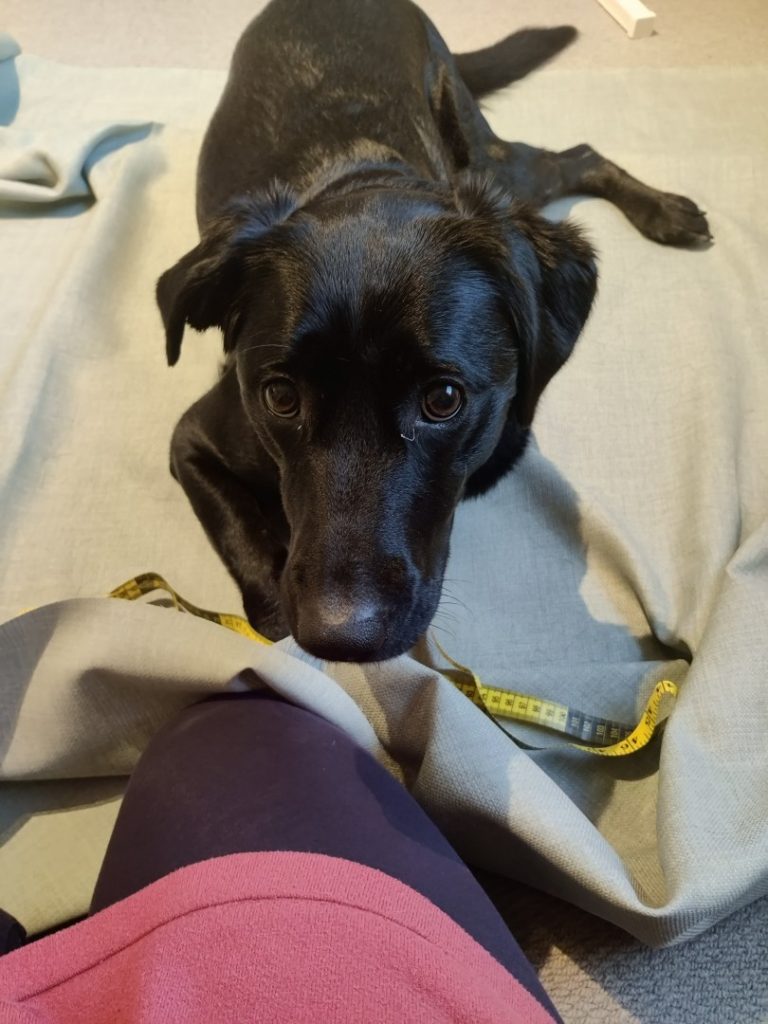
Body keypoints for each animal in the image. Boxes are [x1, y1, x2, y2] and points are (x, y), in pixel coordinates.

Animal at [154, 0, 708, 663]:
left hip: (486, 160)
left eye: (443, 399)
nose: (340, 639)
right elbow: (243, 535)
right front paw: (275, 614)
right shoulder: (193, 439)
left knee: (578, 153)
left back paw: (664, 211)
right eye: (280, 397)